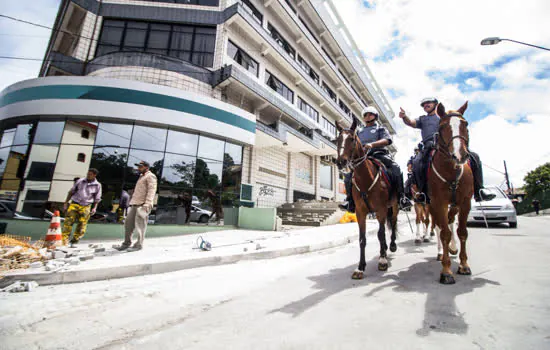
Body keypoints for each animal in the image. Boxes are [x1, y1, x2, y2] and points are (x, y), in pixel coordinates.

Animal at [336, 118, 402, 278]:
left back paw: (391, 246)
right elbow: (362, 239)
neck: (365, 178)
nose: (341, 162)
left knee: (393, 223)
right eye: (337, 140)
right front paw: (360, 267)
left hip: (394, 206)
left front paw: (383, 261)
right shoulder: (360, 212)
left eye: (352, 139)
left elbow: (381, 234)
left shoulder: (381, 210)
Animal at [430, 101, 476, 284]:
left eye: (466, 124)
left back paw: (453, 248)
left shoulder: (465, 202)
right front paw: (446, 271)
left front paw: (464, 265)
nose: (459, 155)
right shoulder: (438, 202)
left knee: (450, 220)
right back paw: (442, 252)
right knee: (439, 226)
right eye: (442, 126)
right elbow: (444, 234)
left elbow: (462, 232)